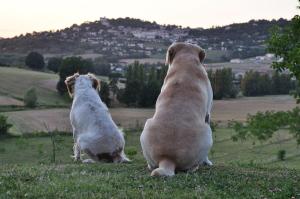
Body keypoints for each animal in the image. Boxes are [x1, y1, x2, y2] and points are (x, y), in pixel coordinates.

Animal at [140, 42, 213, 176]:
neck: (185, 62)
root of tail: (167, 159)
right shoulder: (208, 114)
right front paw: (208, 162)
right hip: (208, 131)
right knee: (191, 167)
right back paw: (196, 167)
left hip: (147, 126)